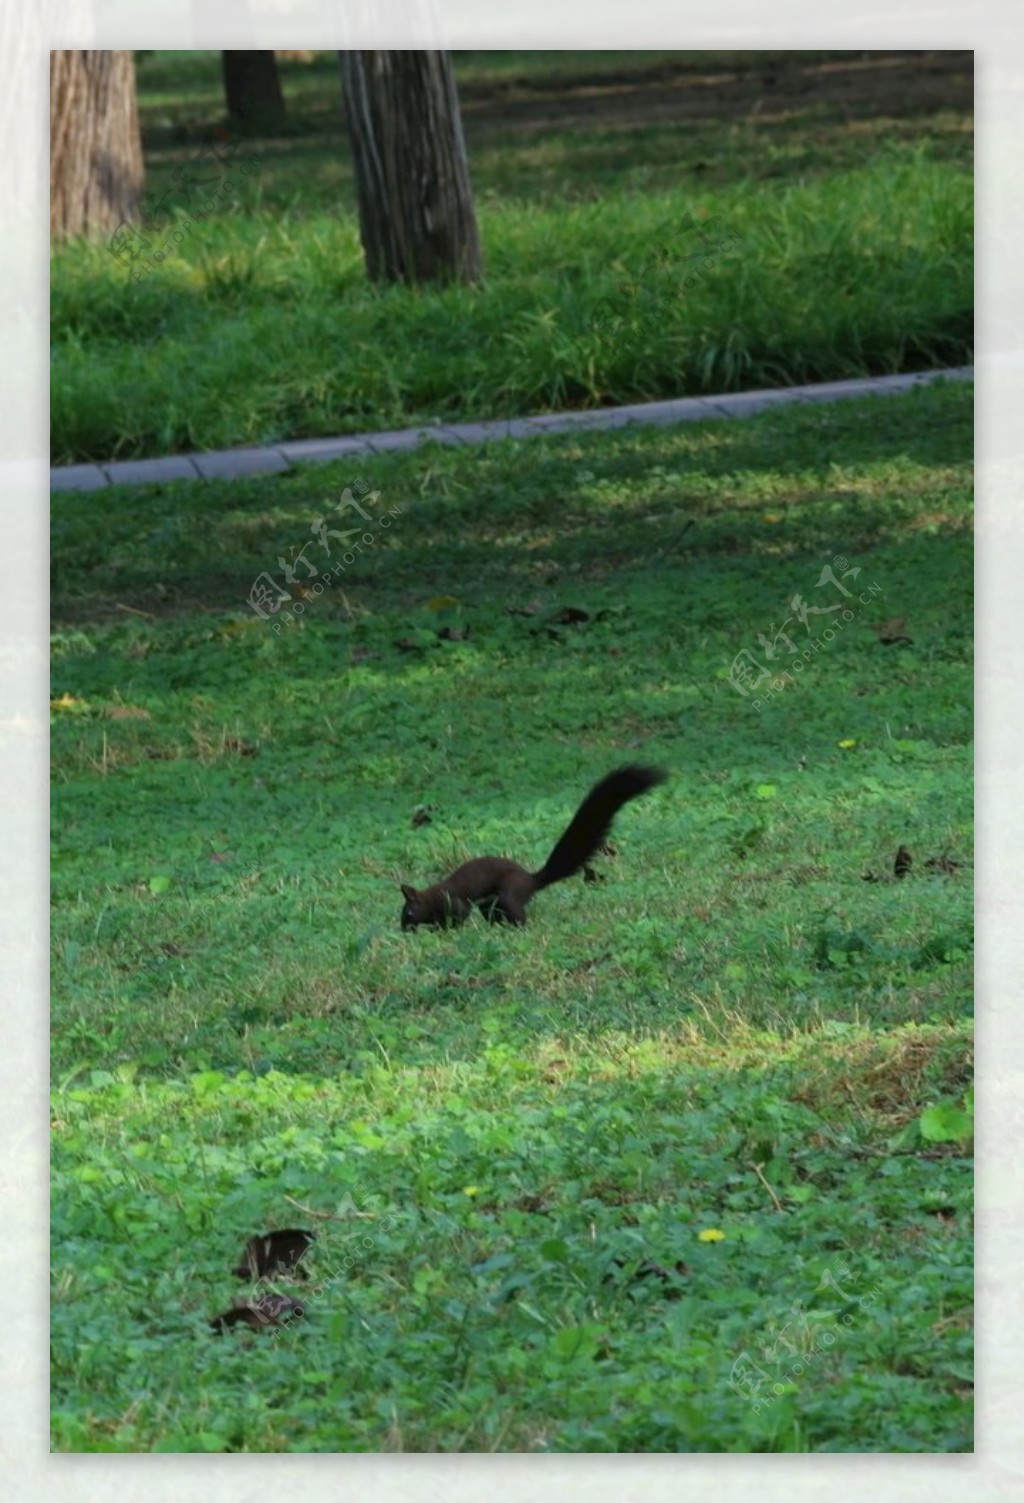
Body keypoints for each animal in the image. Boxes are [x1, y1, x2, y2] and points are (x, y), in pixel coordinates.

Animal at [393, 763, 667, 925]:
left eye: (408, 913)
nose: (404, 929)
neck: (432, 898)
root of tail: (530, 880)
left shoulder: (455, 902)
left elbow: (459, 916)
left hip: (508, 895)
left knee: (518, 914)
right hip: (492, 905)